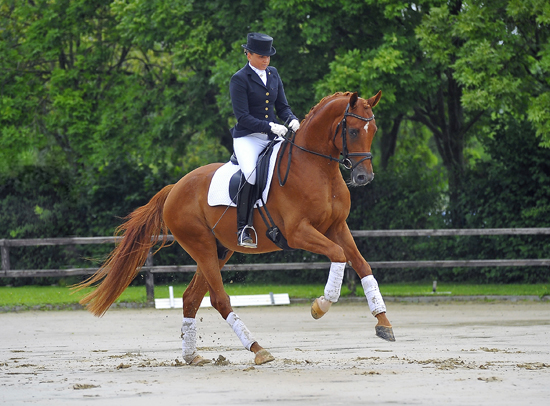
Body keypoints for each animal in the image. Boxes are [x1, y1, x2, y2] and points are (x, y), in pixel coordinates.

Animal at [75, 90, 394, 366]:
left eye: (375, 130)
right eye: (354, 131)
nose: (364, 177)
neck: (316, 168)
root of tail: (174, 188)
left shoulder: (337, 227)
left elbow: (362, 265)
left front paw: (384, 323)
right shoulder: (298, 233)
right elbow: (338, 255)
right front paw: (321, 305)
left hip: (219, 250)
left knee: (192, 298)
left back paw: (192, 355)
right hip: (201, 246)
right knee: (219, 299)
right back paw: (257, 349)